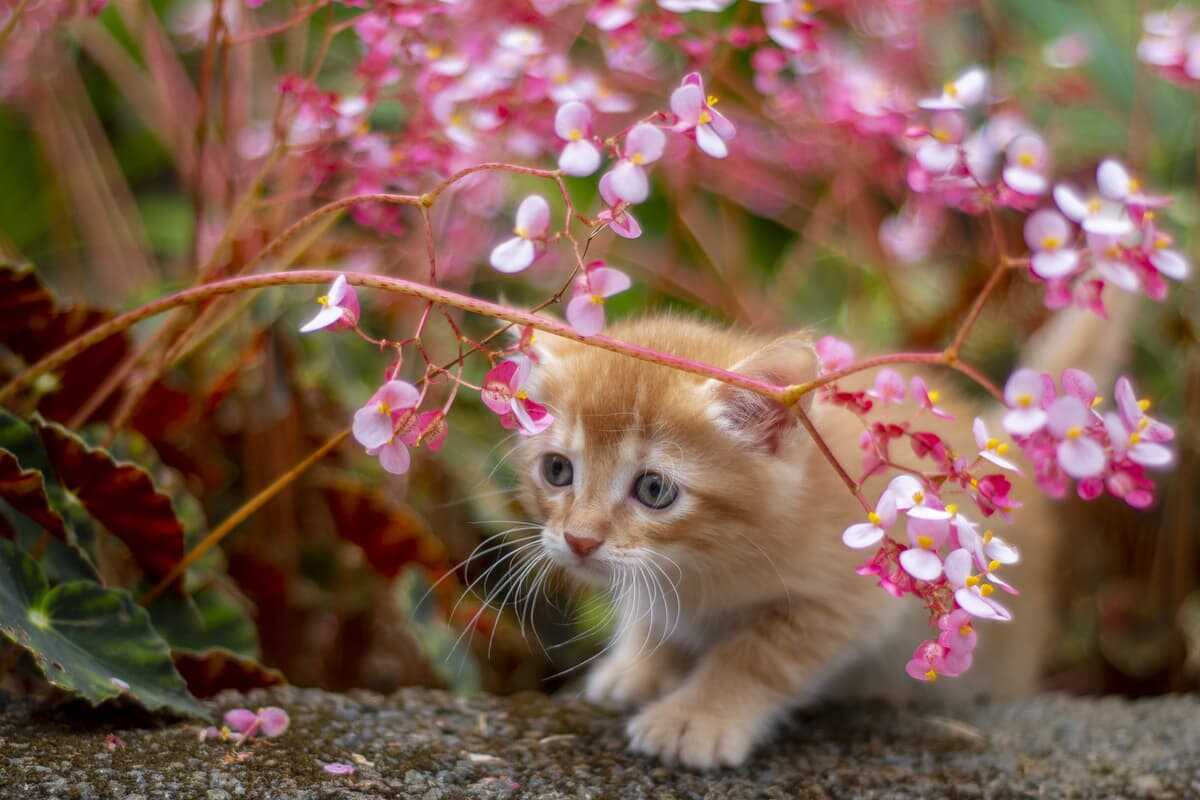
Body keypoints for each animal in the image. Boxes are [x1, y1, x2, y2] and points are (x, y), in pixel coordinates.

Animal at [516, 311, 1113, 767]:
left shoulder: (845, 597)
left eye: (654, 488)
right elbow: (653, 617)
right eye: (557, 470)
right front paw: (638, 669)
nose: (579, 539)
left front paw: (696, 717)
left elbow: (758, 656)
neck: (704, 563)